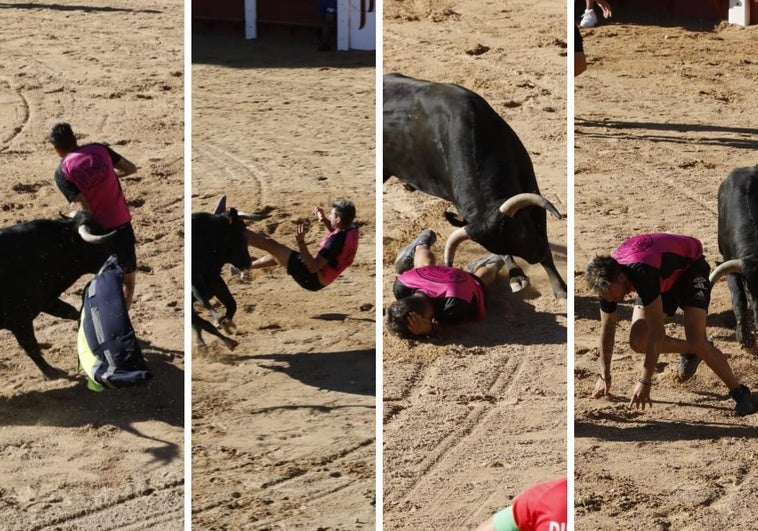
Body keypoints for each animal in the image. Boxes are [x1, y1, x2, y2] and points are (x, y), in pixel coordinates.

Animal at [0, 212, 116, 378]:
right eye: (99, 245)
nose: (119, 260)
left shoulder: (46, 301)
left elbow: (72, 312)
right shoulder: (20, 320)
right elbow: (31, 346)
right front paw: (52, 372)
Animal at [382, 73, 568, 302]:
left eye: (522, 229)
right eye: (492, 246)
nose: (535, 255)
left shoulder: (531, 188)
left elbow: (545, 239)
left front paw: (560, 289)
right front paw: (516, 277)